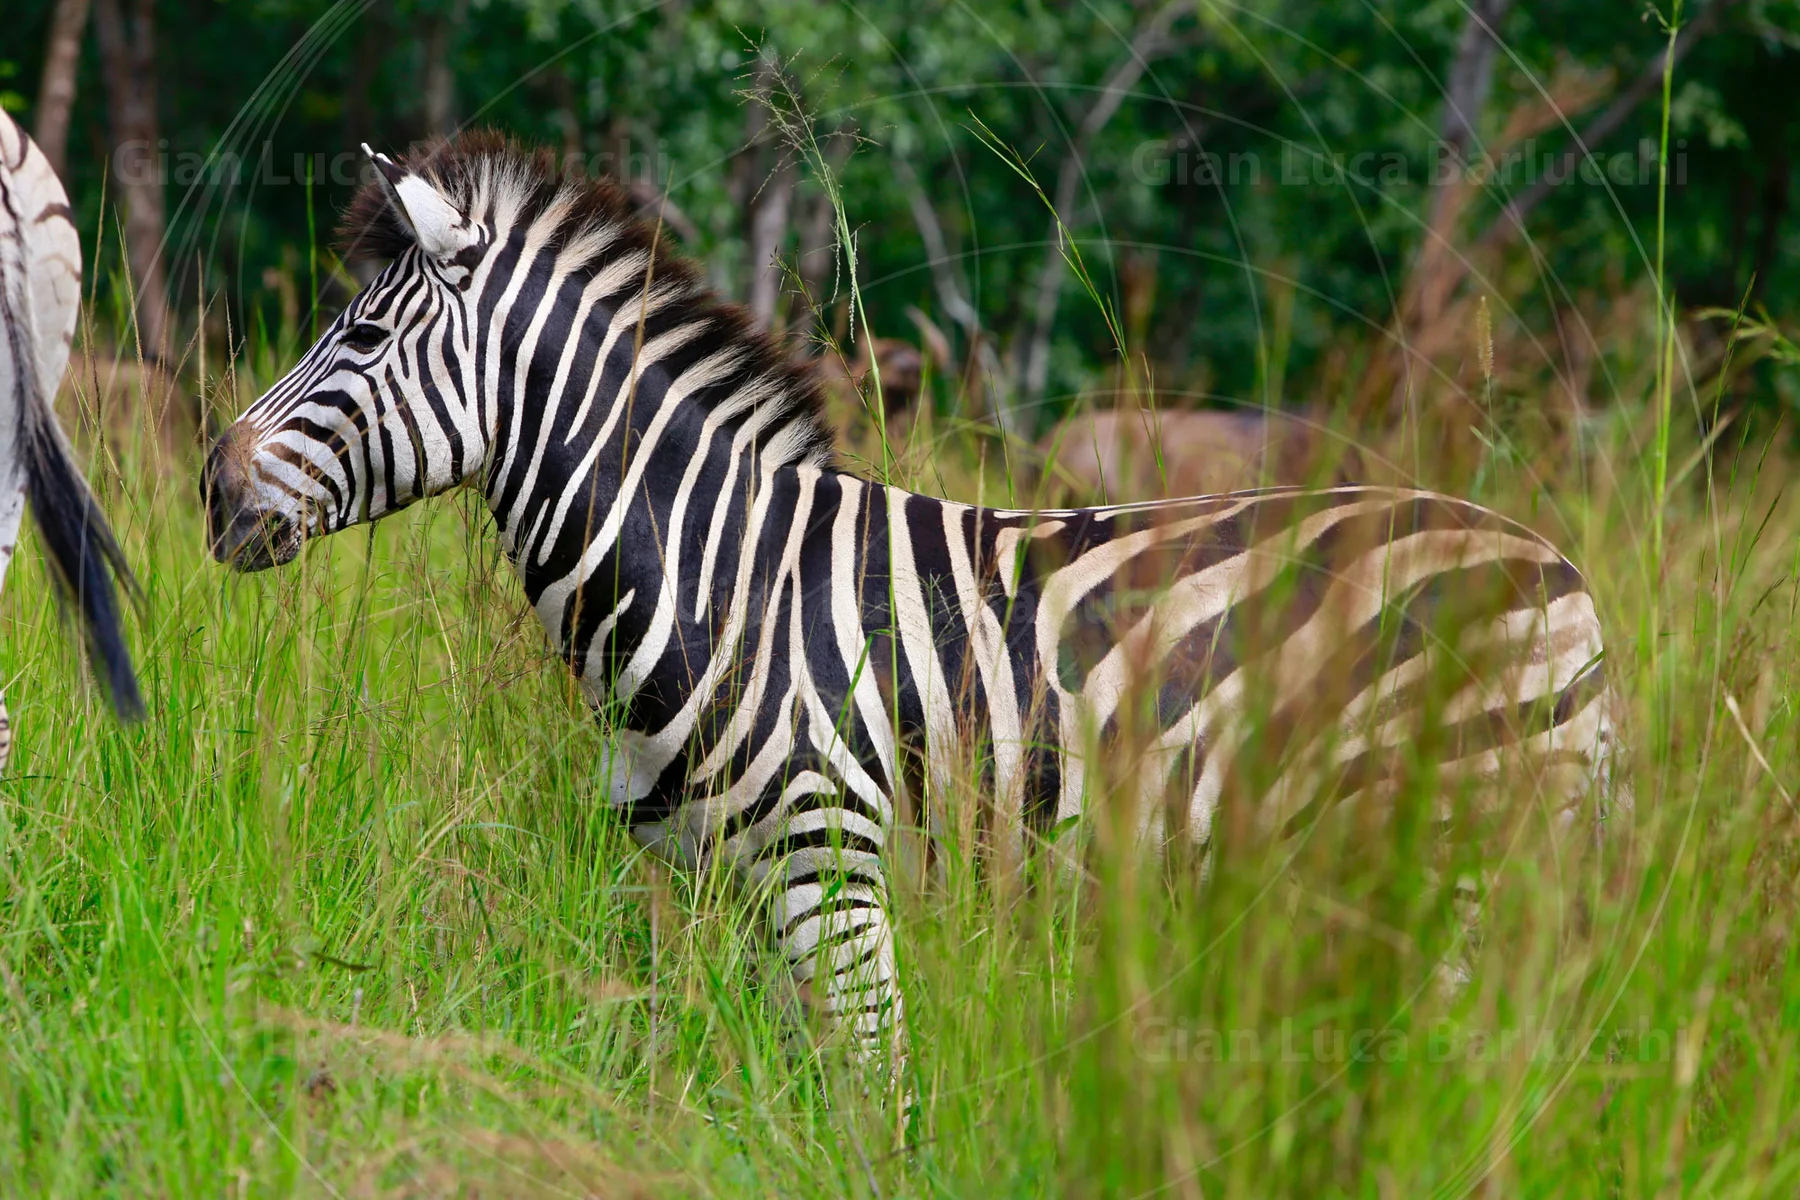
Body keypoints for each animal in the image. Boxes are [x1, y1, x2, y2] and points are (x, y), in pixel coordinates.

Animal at [202, 132, 1626, 1067]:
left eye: (361, 340)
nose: (212, 488)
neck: (720, 578)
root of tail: (1560, 570)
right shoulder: (726, 887)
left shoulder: (832, 860)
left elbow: (872, 1098)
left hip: (1468, 857)